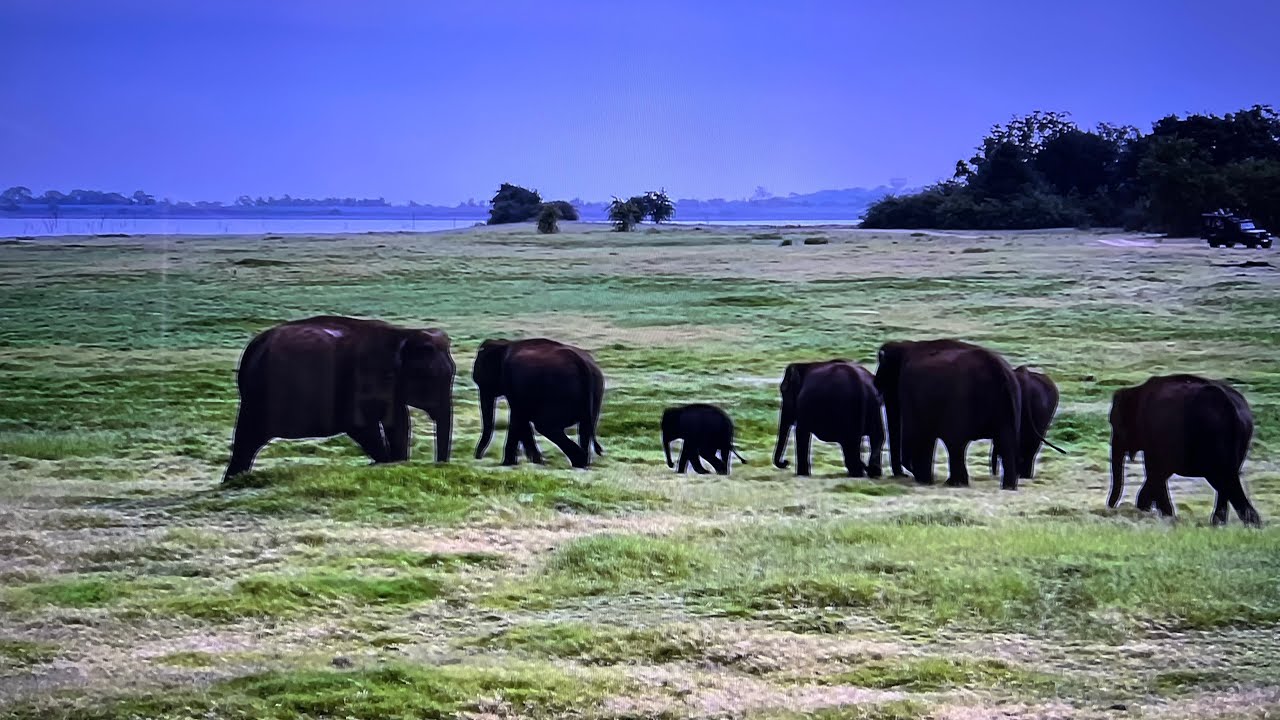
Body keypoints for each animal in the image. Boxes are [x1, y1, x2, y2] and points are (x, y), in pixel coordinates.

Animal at [223, 315, 454, 481]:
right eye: (430, 377)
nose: (440, 466)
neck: (403, 335)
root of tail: (252, 348)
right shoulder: (360, 380)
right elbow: (361, 426)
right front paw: (385, 463)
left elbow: (398, 423)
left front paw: (396, 463)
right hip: (259, 396)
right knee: (247, 440)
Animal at [473, 338, 605, 468]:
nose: (478, 457)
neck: (504, 344)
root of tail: (582, 363)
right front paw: (536, 461)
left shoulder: (512, 383)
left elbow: (518, 418)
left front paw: (508, 464)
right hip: (594, 392)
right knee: (584, 428)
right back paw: (583, 463)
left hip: (559, 392)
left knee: (544, 425)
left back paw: (579, 460)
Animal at [875, 339, 1025, 489]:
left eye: (883, 386)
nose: (902, 476)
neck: (905, 346)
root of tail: (1000, 371)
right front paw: (924, 479)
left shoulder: (908, 391)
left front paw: (921, 477)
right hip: (1009, 405)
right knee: (1005, 442)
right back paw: (1007, 487)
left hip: (962, 401)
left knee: (956, 442)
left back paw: (955, 482)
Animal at [1108, 374, 1260, 526]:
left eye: (1115, 424)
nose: (1111, 508)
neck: (1137, 390)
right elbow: (1159, 475)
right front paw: (1163, 516)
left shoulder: (1156, 438)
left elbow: (1155, 473)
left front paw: (1154, 514)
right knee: (1226, 482)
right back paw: (1222, 523)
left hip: (1215, 441)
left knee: (1226, 480)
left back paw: (1249, 523)